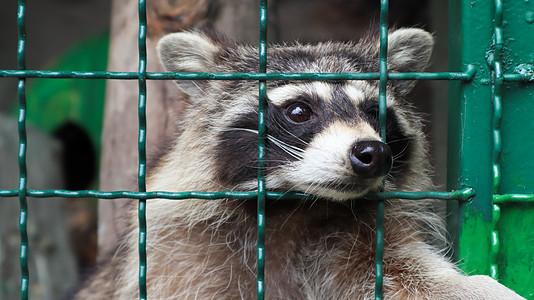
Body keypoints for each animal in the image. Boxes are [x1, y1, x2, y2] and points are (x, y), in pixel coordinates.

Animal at [73, 28, 524, 300]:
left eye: (373, 111)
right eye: (299, 111)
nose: (372, 153)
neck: (295, 206)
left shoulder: (362, 239)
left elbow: (409, 275)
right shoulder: (179, 255)